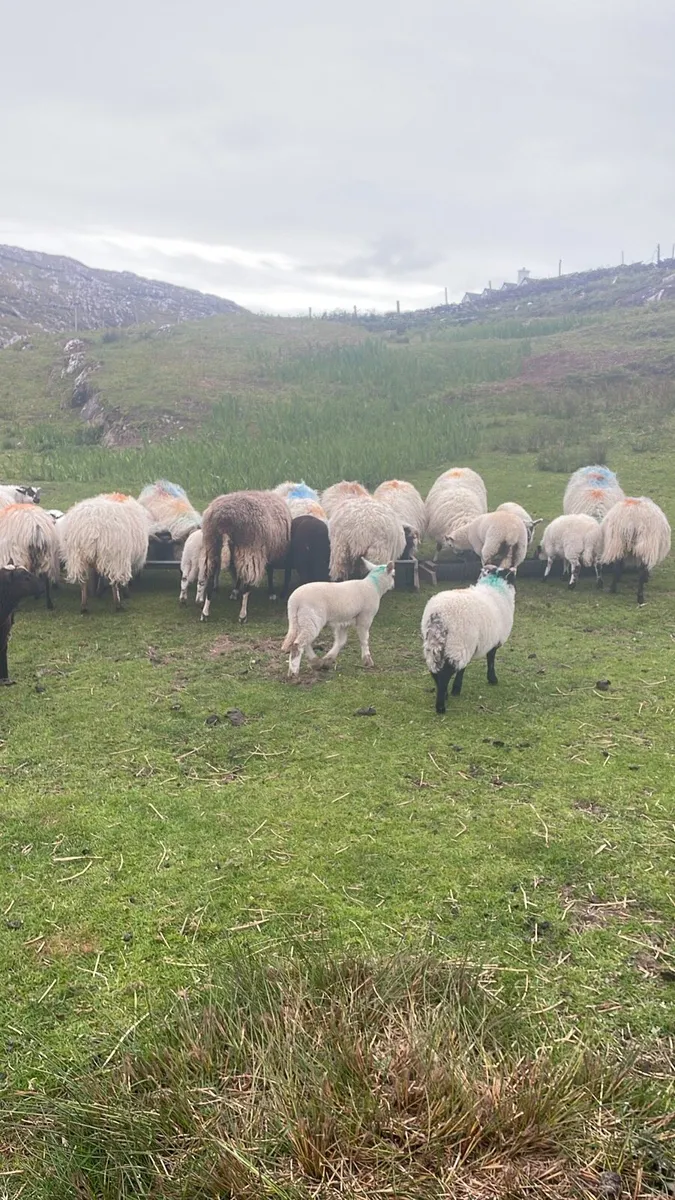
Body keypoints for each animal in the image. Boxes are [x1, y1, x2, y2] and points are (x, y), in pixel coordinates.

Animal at [200, 490, 291, 623]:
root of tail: (224, 519)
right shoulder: (266, 551)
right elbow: (269, 571)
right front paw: (271, 593)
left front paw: (235, 591)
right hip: (250, 549)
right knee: (247, 587)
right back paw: (242, 615)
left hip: (212, 546)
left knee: (211, 580)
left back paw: (205, 613)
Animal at [421, 565, 516, 712]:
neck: (495, 587)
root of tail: (438, 616)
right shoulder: (493, 641)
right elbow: (490, 660)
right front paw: (492, 679)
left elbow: (463, 668)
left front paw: (456, 689)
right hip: (457, 643)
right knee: (445, 674)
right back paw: (441, 706)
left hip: (435, 644)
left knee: (434, 670)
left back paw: (445, 694)